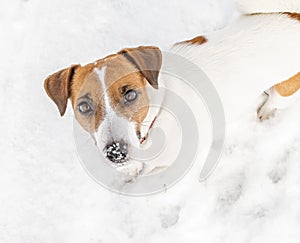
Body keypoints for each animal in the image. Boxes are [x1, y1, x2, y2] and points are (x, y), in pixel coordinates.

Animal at [44, 0, 300, 178]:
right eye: (83, 107)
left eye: (130, 94)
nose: (115, 152)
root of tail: (294, 17)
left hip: (286, 89)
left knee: (276, 99)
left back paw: (267, 109)